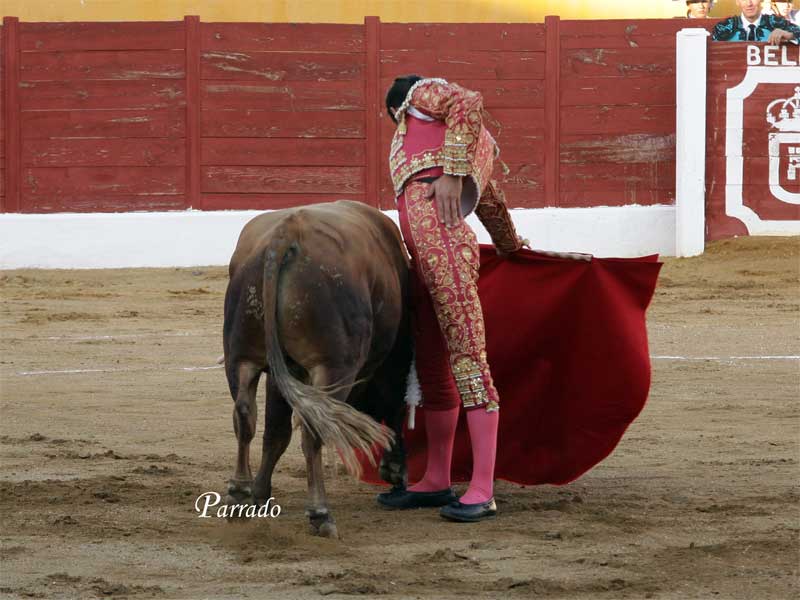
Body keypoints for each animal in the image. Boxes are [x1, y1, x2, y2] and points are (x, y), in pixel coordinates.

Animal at [222, 200, 411, 538]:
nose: (396, 474)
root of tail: (285, 234)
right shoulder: (394, 360)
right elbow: (394, 402)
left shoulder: (282, 373)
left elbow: (276, 432)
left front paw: (259, 494)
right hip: (332, 367)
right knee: (313, 432)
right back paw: (320, 513)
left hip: (240, 356)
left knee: (244, 416)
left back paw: (238, 495)